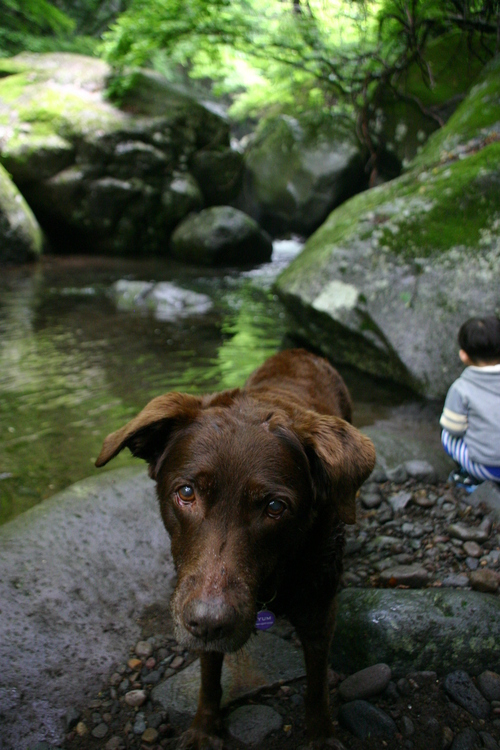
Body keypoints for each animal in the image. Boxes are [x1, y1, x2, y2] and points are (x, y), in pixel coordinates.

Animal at [95, 350, 376, 748]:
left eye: (274, 507)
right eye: (186, 492)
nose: (209, 622)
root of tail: (300, 351)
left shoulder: (319, 610)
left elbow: (317, 682)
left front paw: (321, 735)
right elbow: (209, 677)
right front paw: (203, 728)